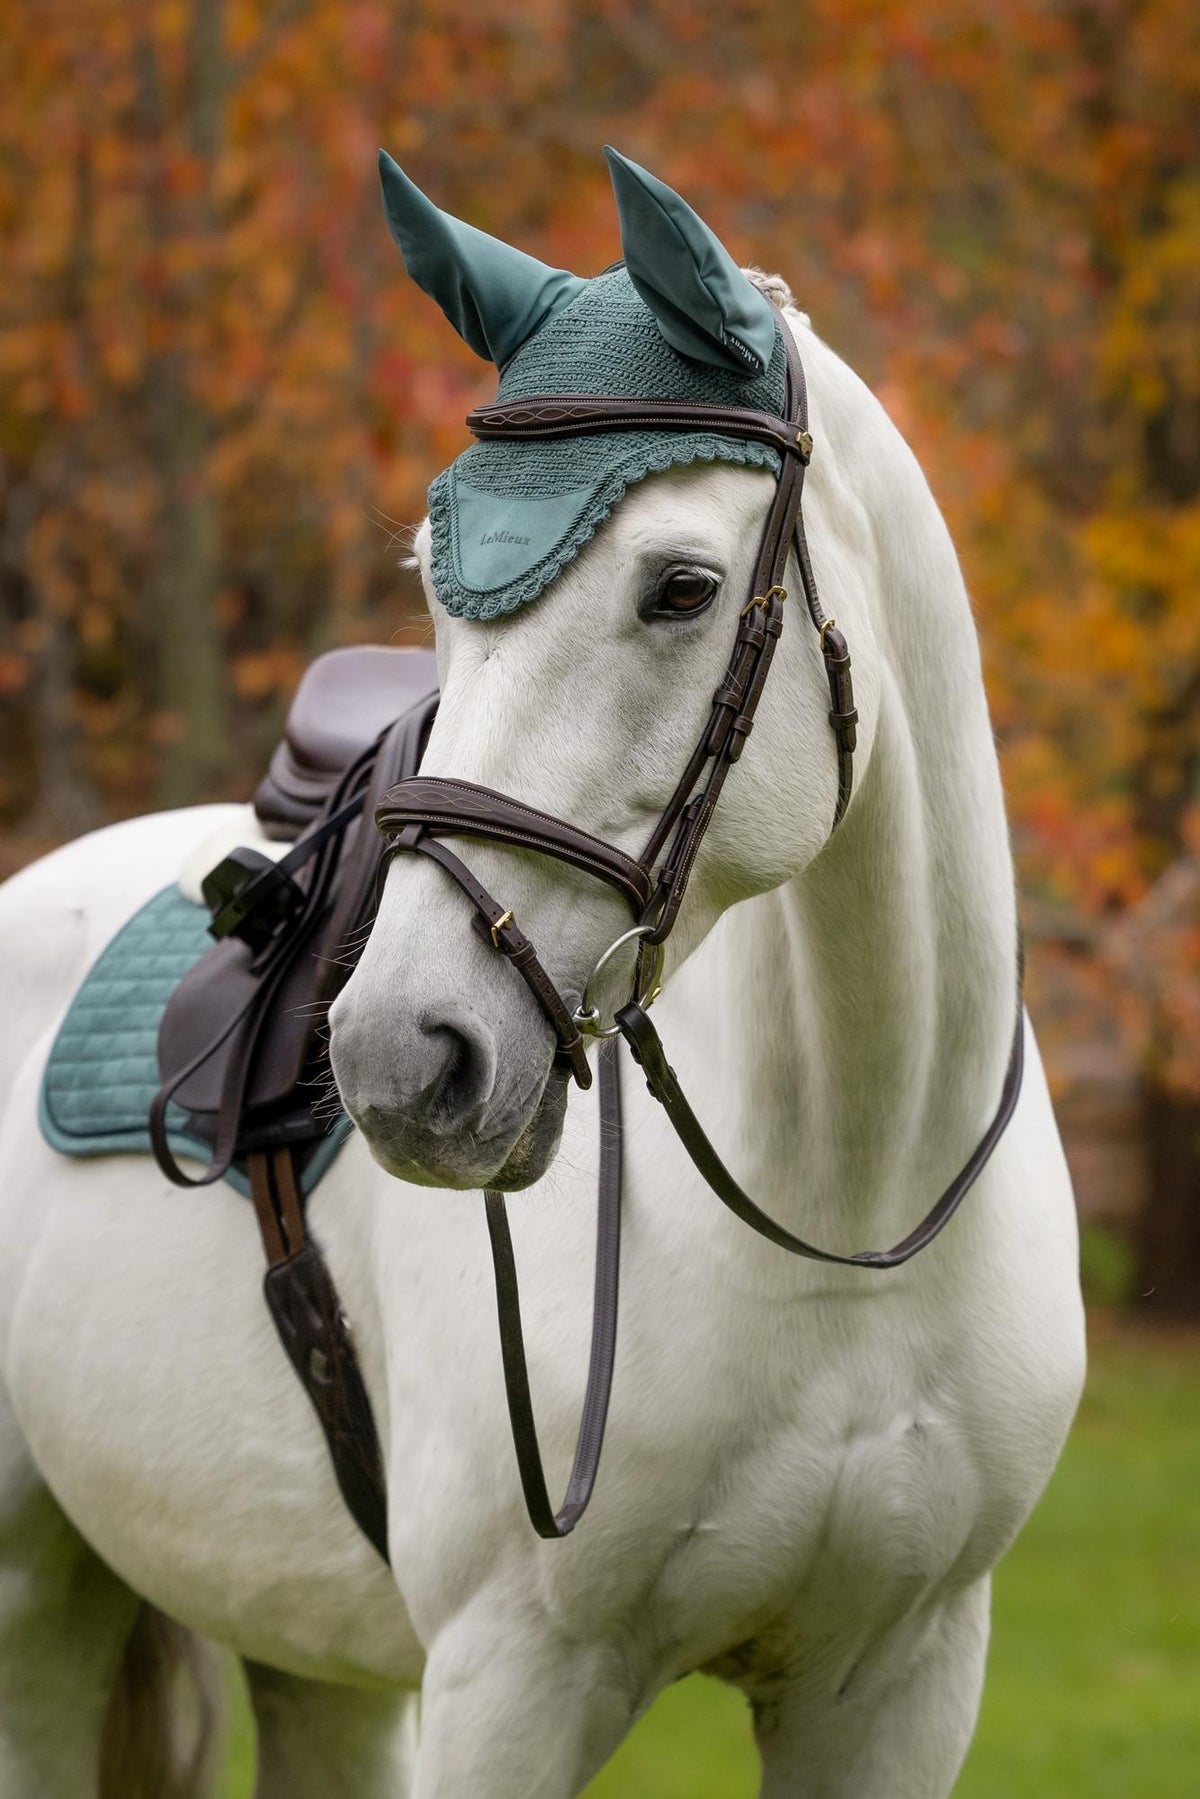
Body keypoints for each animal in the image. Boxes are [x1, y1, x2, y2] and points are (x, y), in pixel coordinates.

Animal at [0, 148, 1085, 1798]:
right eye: (432, 583)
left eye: (682, 587)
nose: (399, 1055)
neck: (844, 1210)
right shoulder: (513, 1680)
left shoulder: (899, 1681)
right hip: (37, 1609)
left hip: (311, 1660)